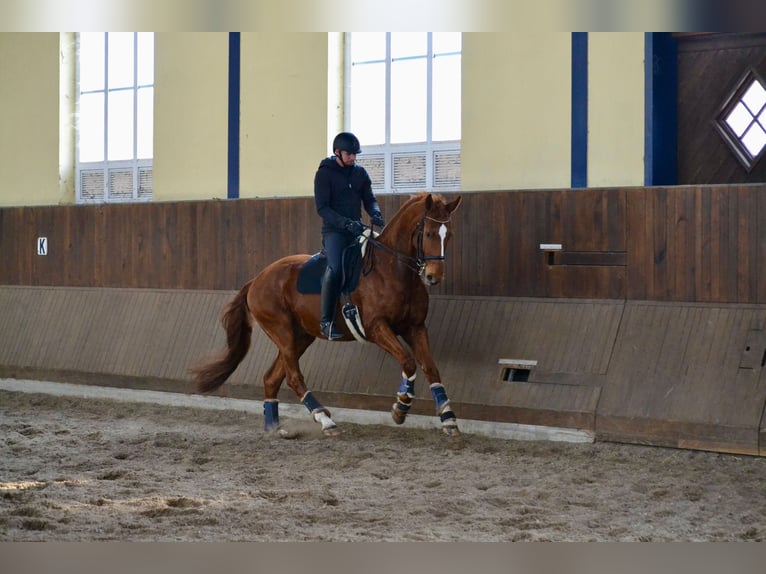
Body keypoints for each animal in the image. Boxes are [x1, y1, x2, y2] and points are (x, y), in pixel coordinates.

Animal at [190, 192, 463, 438]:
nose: (433, 276)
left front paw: (448, 419)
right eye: (428, 233)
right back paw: (325, 420)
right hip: (282, 332)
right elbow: (408, 362)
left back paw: (275, 428)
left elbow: (430, 368)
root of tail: (257, 279)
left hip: (300, 337)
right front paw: (401, 406)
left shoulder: (415, 327)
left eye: (448, 235)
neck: (392, 270)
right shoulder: (376, 327)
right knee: (293, 377)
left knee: (271, 378)